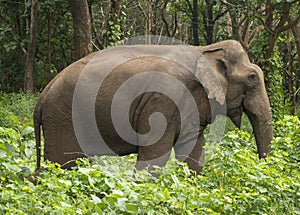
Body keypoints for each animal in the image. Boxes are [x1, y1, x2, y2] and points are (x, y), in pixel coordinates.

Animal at [34, 40, 274, 175]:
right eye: (252, 77)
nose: (261, 166)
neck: (205, 50)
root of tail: (42, 97)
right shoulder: (163, 101)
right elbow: (154, 157)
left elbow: (193, 152)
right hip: (63, 118)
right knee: (62, 164)